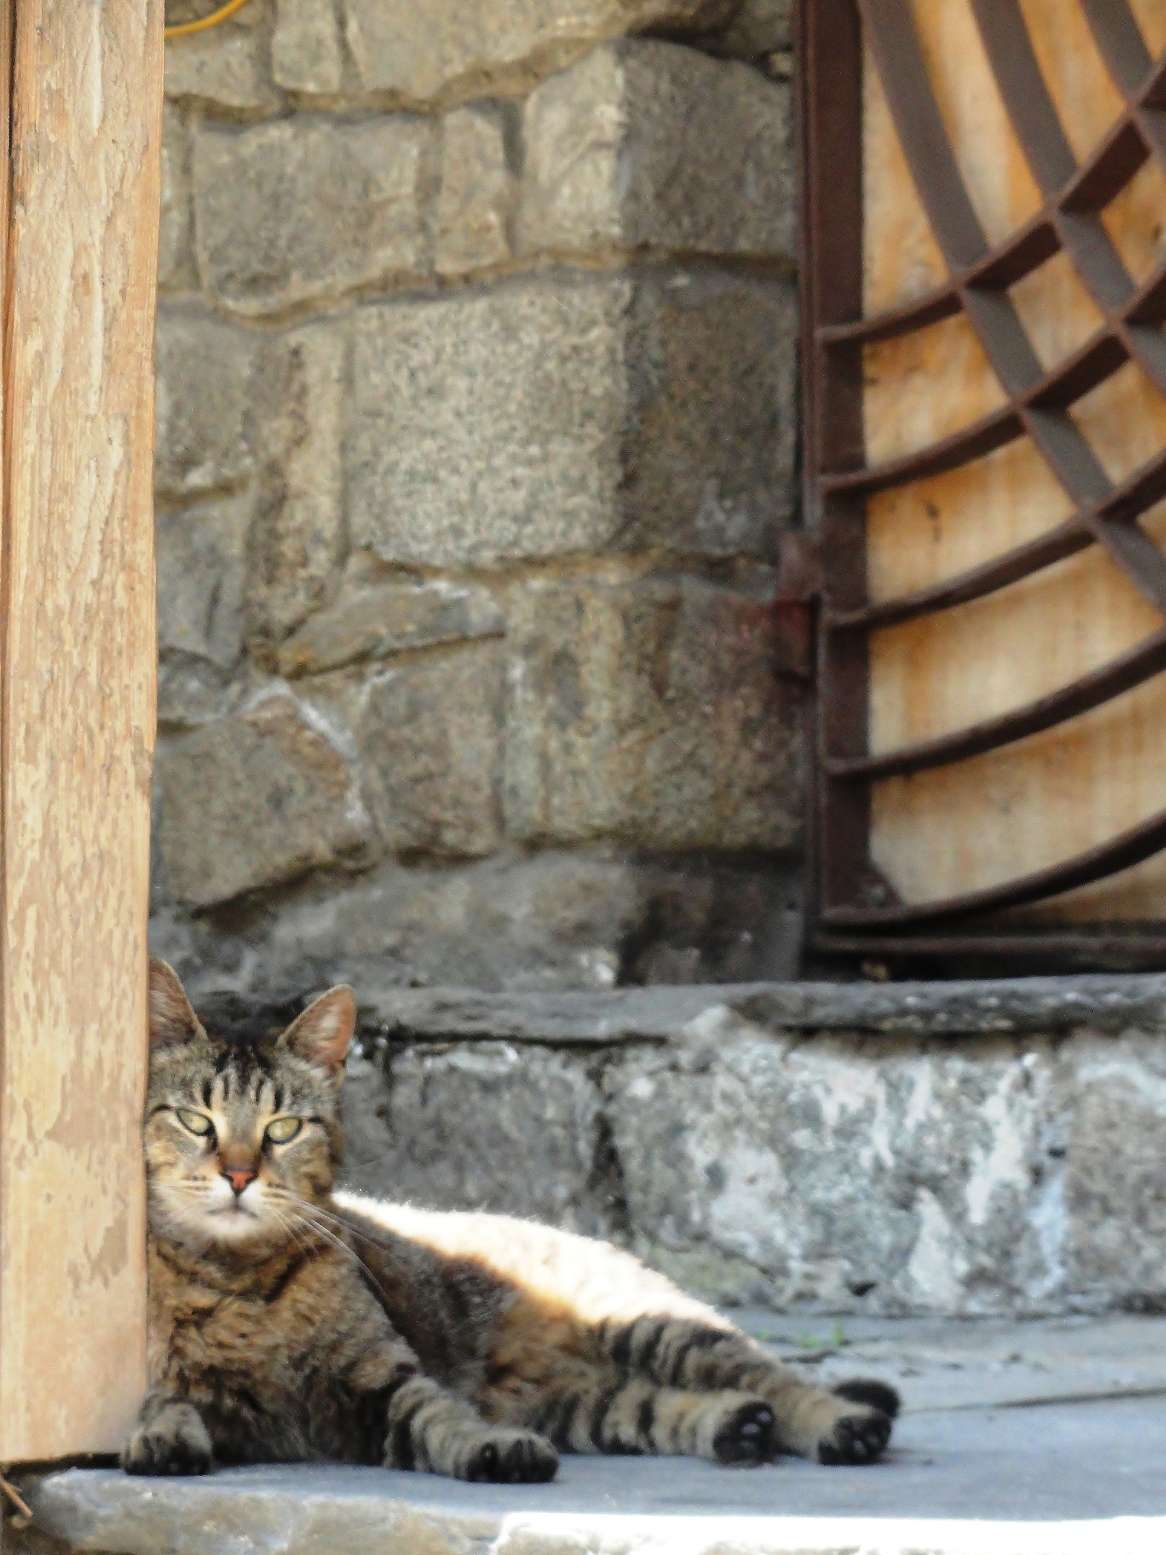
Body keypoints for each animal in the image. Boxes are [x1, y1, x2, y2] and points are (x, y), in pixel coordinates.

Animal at [125, 957, 901, 1480]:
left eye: (282, 1129)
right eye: (197, 1121)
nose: (238, 1174)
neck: (238, 1279)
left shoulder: (384, 1379)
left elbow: (441, 1415)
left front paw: (488, 1447)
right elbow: (162, 1399)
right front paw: (161, 1433)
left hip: (658, 1326)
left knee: (776, 1377)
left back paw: (840, 1424)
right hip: (587, 1406)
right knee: (658, 1405)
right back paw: (734, 1425)